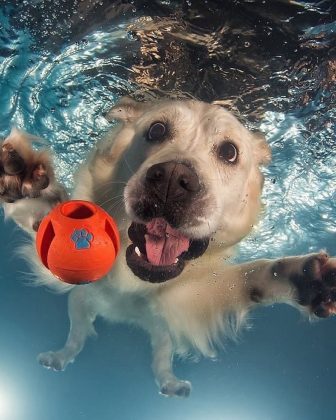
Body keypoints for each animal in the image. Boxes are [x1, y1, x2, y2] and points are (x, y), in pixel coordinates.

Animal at [1, 97, 336, 398]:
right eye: (157, 130)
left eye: (229, 152)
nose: (172, 180)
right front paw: (27, 184)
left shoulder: (186, 298)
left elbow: (245, 278)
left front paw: (303, 278)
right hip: (80, 305)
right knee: (77, 335)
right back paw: (59, 357)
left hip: (162, 333)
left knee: (160, 361)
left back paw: (171, 384)